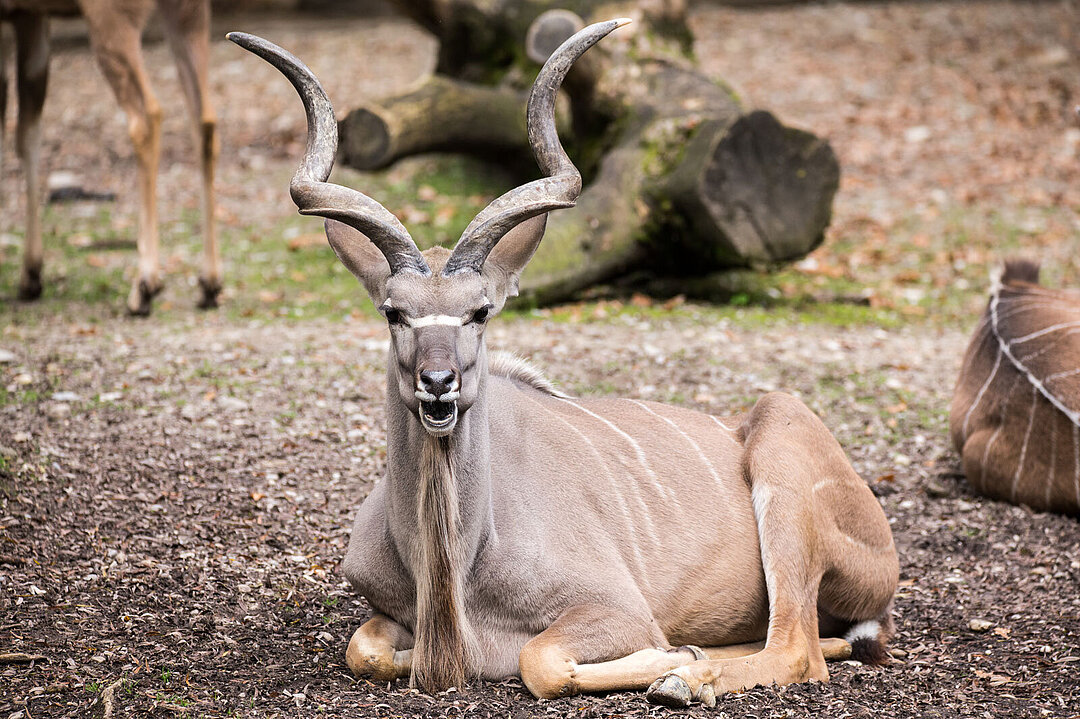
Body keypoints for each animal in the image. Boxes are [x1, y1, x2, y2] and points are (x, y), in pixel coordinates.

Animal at [0, 0, 221, 313]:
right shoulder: (29, 16)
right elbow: (28, 129)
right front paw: (30, 275)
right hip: (190, 14)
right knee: (204, 120)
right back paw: (209, 284)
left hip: (113, 17)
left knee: (147, 115)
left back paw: (144, 284)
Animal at [230, 22, 902, 703]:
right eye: (394, 312)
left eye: (479, 312)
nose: (439, 385)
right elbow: (363, 650)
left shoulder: (617, 609)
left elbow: (541, 661)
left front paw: (672, 662)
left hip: (783, 450)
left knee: (796, 649)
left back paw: (685, 676)